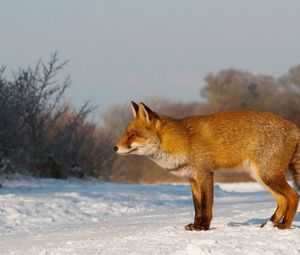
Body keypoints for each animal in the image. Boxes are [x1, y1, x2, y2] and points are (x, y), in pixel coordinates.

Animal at [113, 101, 298, 231]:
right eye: (126, 133)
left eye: (133, 134)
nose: (114, 148)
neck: (183, 141)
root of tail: (294, 127)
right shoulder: (192, 179)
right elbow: (197, 207)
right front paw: (195, 226)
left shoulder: (205, 174)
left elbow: (206, 206)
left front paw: (203, 228)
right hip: (261, 177)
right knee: (282, 200)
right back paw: (269, 224)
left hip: (268, 176)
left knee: (294, 196)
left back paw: (284, 225)